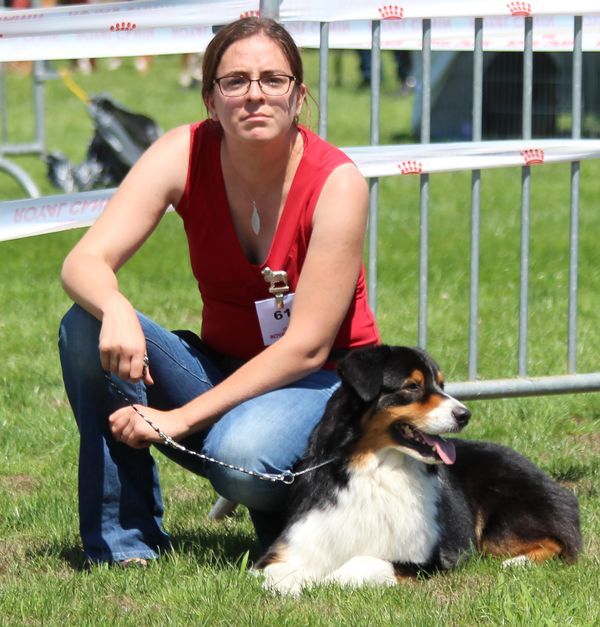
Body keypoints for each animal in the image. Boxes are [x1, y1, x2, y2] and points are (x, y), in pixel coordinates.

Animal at [256, 345, 581, 595]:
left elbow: (363, 563)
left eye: (441, 385)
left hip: (501, 526)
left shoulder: (428, 560)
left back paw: (517, 563)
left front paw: (327, 581)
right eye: (412, 386)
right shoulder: (291, 547)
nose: (465, 414)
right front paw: (297, 584)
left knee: (561, 541)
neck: (377, 469)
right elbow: (275, 576)